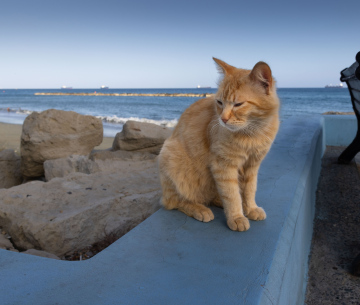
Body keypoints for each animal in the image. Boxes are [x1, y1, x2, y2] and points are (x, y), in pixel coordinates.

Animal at [159, 57, 280, 230]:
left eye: (238, 104)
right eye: (220, 102)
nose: (223, 119)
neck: (253, 132)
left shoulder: (252, 166)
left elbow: (249, 190)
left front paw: (250, 208)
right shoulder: (223, 165)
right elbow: (231, 194)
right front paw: (236, 217)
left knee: (213, 195)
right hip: (171, 159)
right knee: (175, 201)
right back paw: (200, 209)